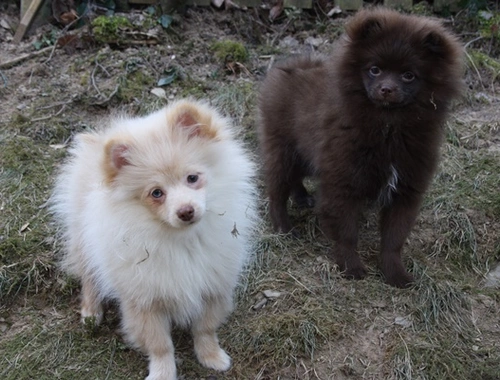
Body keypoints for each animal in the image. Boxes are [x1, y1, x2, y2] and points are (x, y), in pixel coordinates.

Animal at [258, 8, 464, 288]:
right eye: (374, 69)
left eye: (408, 75)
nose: (386, 89)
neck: (388, 128)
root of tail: (294, 65)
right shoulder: (342, 180)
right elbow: (346, 232)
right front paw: (351, 267)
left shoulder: (406, 186)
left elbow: (394, 237)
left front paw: (395, 274)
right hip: (282, 149)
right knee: (277, 190)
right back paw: (284, 229)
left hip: (304, 153)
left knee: (295, 178)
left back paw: (302, 198)